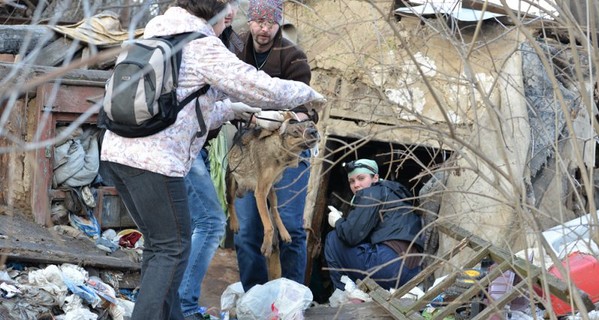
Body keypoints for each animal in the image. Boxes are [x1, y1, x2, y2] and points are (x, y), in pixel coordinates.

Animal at [225, 112, 318, 278]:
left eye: (312, 125)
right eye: (295, 132)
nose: (314, 132)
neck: (281, 155)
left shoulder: (270, 189)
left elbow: (274, 214)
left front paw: (282, 233)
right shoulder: (261, 191)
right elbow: (268, 225)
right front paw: (267, 245)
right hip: (231, 182)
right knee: (230, 202)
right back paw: (235, 223)